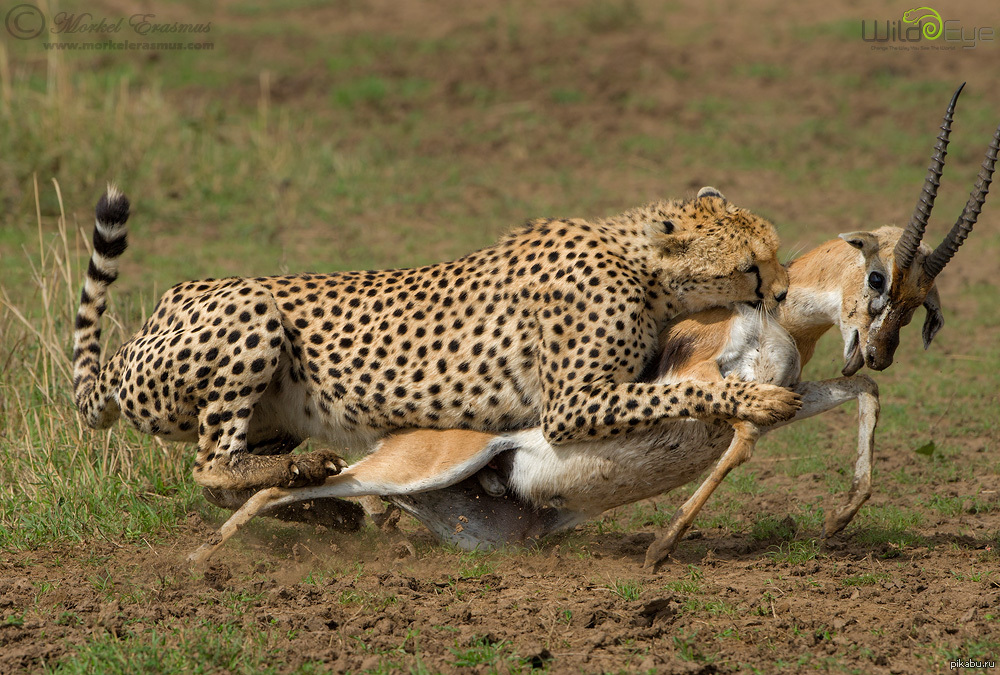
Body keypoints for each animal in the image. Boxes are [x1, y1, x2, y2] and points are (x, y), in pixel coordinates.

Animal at [72, 185, 796, 496]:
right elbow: (681, 393)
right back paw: (289, 472)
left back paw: (296, 472)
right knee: (209, 463)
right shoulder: (570, 405)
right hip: (248, 306)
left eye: (776, 253)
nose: (784, 294)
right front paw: (754, 399)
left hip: (271, 410)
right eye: (751, 267)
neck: (640, 265)